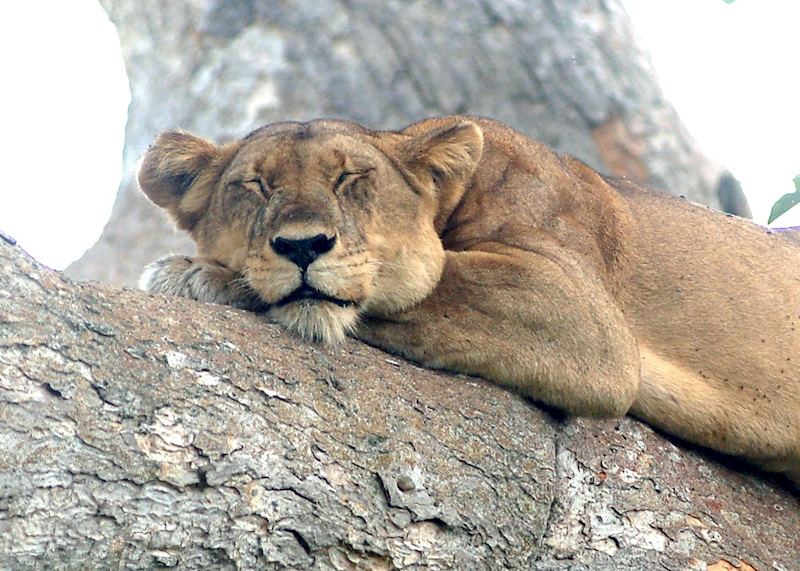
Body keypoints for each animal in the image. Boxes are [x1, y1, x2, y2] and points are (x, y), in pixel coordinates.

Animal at [137, 116, 800, 485]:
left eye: (350, 179)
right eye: (254, 185)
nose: (303, 246)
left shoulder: (578, 309)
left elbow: (429, 280)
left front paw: (199, 276)